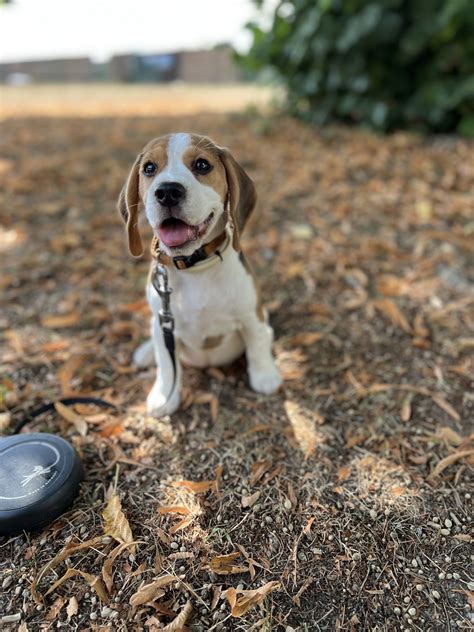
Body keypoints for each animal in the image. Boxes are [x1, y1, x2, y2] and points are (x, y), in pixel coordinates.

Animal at [118, 133, 282, 418]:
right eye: (149, 168)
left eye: (202, 165)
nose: (167, 192)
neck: (195, 266)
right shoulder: (164, 323)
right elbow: (167, 365)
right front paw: (165, 396)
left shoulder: (250, 314)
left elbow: (258, 343)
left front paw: (265, 377)